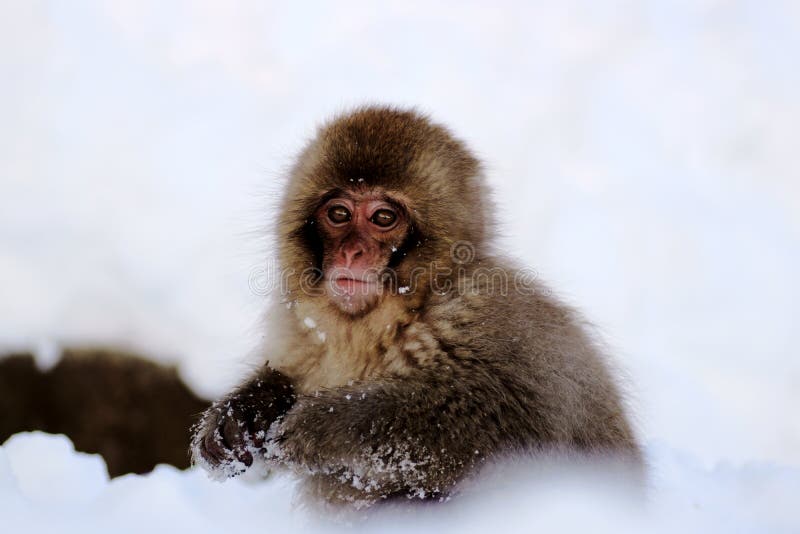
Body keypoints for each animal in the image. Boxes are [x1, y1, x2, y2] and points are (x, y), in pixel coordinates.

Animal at [191, 106, 641, 507]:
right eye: (338, 213)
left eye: (383, 217)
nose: (352, 252)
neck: (394, 316)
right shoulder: (298, 329)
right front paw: (247, 409)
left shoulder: (500, 321)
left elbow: (519, 428)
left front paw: (327, 425)